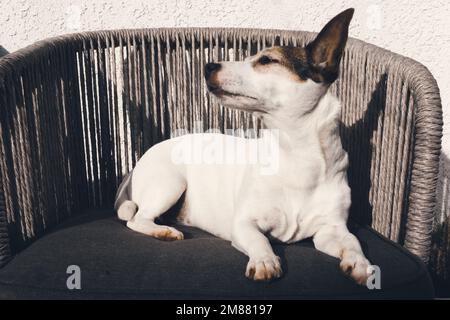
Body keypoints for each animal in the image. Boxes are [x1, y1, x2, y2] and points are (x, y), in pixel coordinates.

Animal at [114, 7, 370, 284]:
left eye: (267, 60)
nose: (208, 65)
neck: (296, 155)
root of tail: (134, 167)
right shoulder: (244, 224)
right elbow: (260, 240)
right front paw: (265, 261)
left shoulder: (331, 230)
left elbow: (353, 241)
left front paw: (361, 263)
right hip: (170, 182)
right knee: (136, 219)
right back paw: (163, 231)